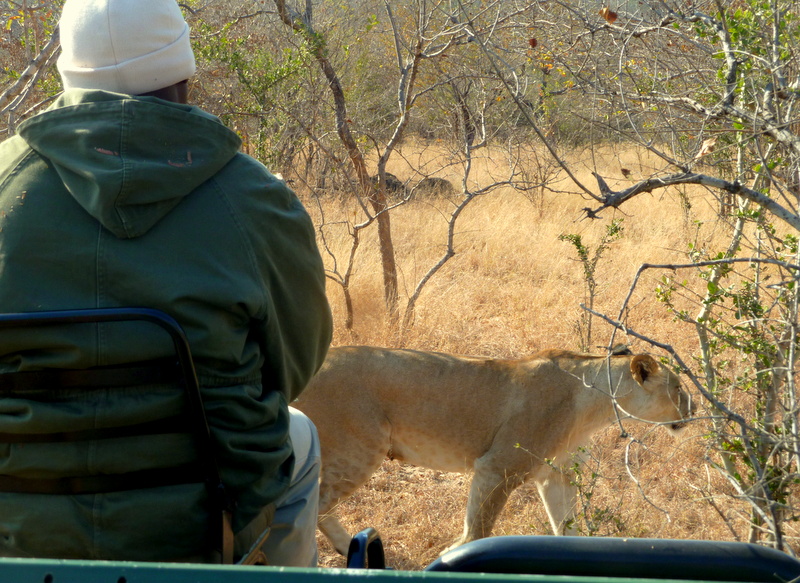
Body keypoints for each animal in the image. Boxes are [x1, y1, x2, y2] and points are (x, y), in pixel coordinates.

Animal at [293, 346, 694, 555]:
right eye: (677, 388)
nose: (694, 408)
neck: (593, 404)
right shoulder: (499, 467)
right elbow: (478, 529)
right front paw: (450, 558)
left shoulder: (557, 476)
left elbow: (568, 528)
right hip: (357, 449)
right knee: (311, 504)